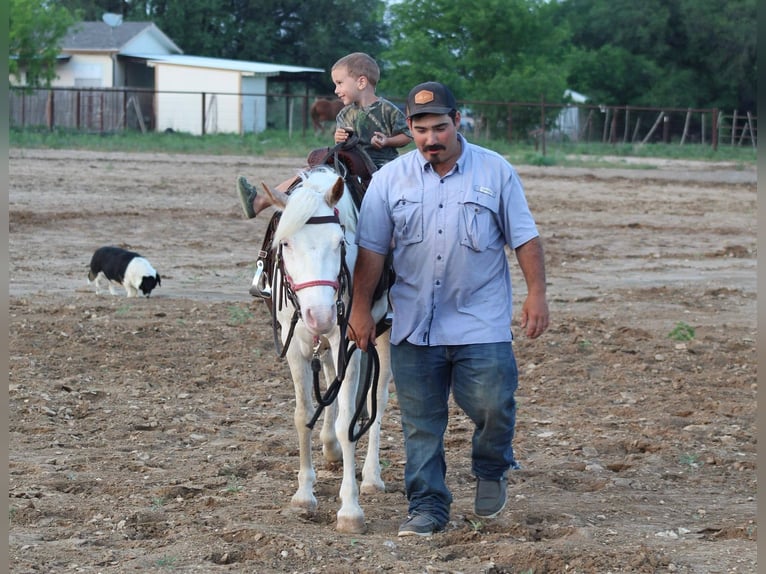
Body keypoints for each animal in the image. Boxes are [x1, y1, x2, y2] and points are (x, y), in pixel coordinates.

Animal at [253, 165, 392, 534]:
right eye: (285, 243)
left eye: (340, 243)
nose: (321, 314)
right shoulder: (296, 347)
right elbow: (304, 415)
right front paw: (304, 494)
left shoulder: (351, 343)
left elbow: (349, 420)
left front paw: (350, 510)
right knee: (330, 380)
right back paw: (330, 449)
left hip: (383, 336)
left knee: (378, 396)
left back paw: (371, 476)